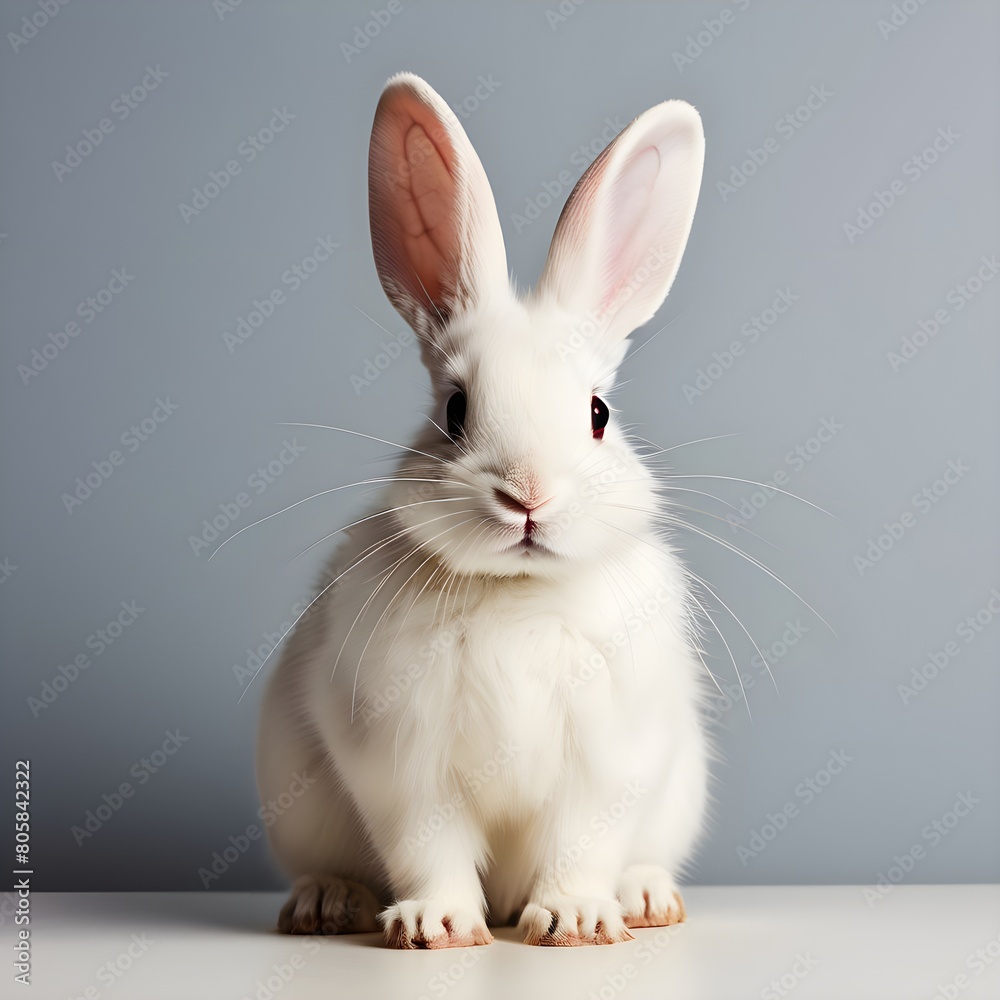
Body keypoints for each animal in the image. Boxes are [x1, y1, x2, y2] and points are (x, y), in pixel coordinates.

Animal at [256, 71, 709, 949]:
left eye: (598, 413)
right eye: (456, 411)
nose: (527, 496)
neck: (516, 596)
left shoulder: (605, 767)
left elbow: (580, 845)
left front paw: (573, 921)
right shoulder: (404, 766)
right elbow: (428, 849)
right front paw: (434, 927)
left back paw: (645, 899)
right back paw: (326, 905)